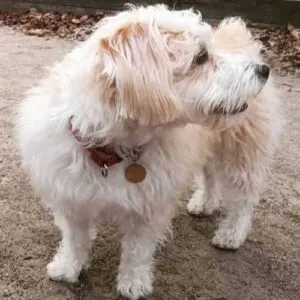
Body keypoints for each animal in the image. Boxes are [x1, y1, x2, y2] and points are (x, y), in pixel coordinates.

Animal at [16, 4, 282, 300]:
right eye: (201, 57)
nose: (263, 70)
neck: (112, 150)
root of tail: (238, 37)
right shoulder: (72, 198)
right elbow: (75, 239)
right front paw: (68, 268)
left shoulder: (148, 207)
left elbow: (137, 251)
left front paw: (133, 283)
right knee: (210, 176)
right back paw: (204, 203)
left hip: (241, 153)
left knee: (243, 199)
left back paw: (232, 234)